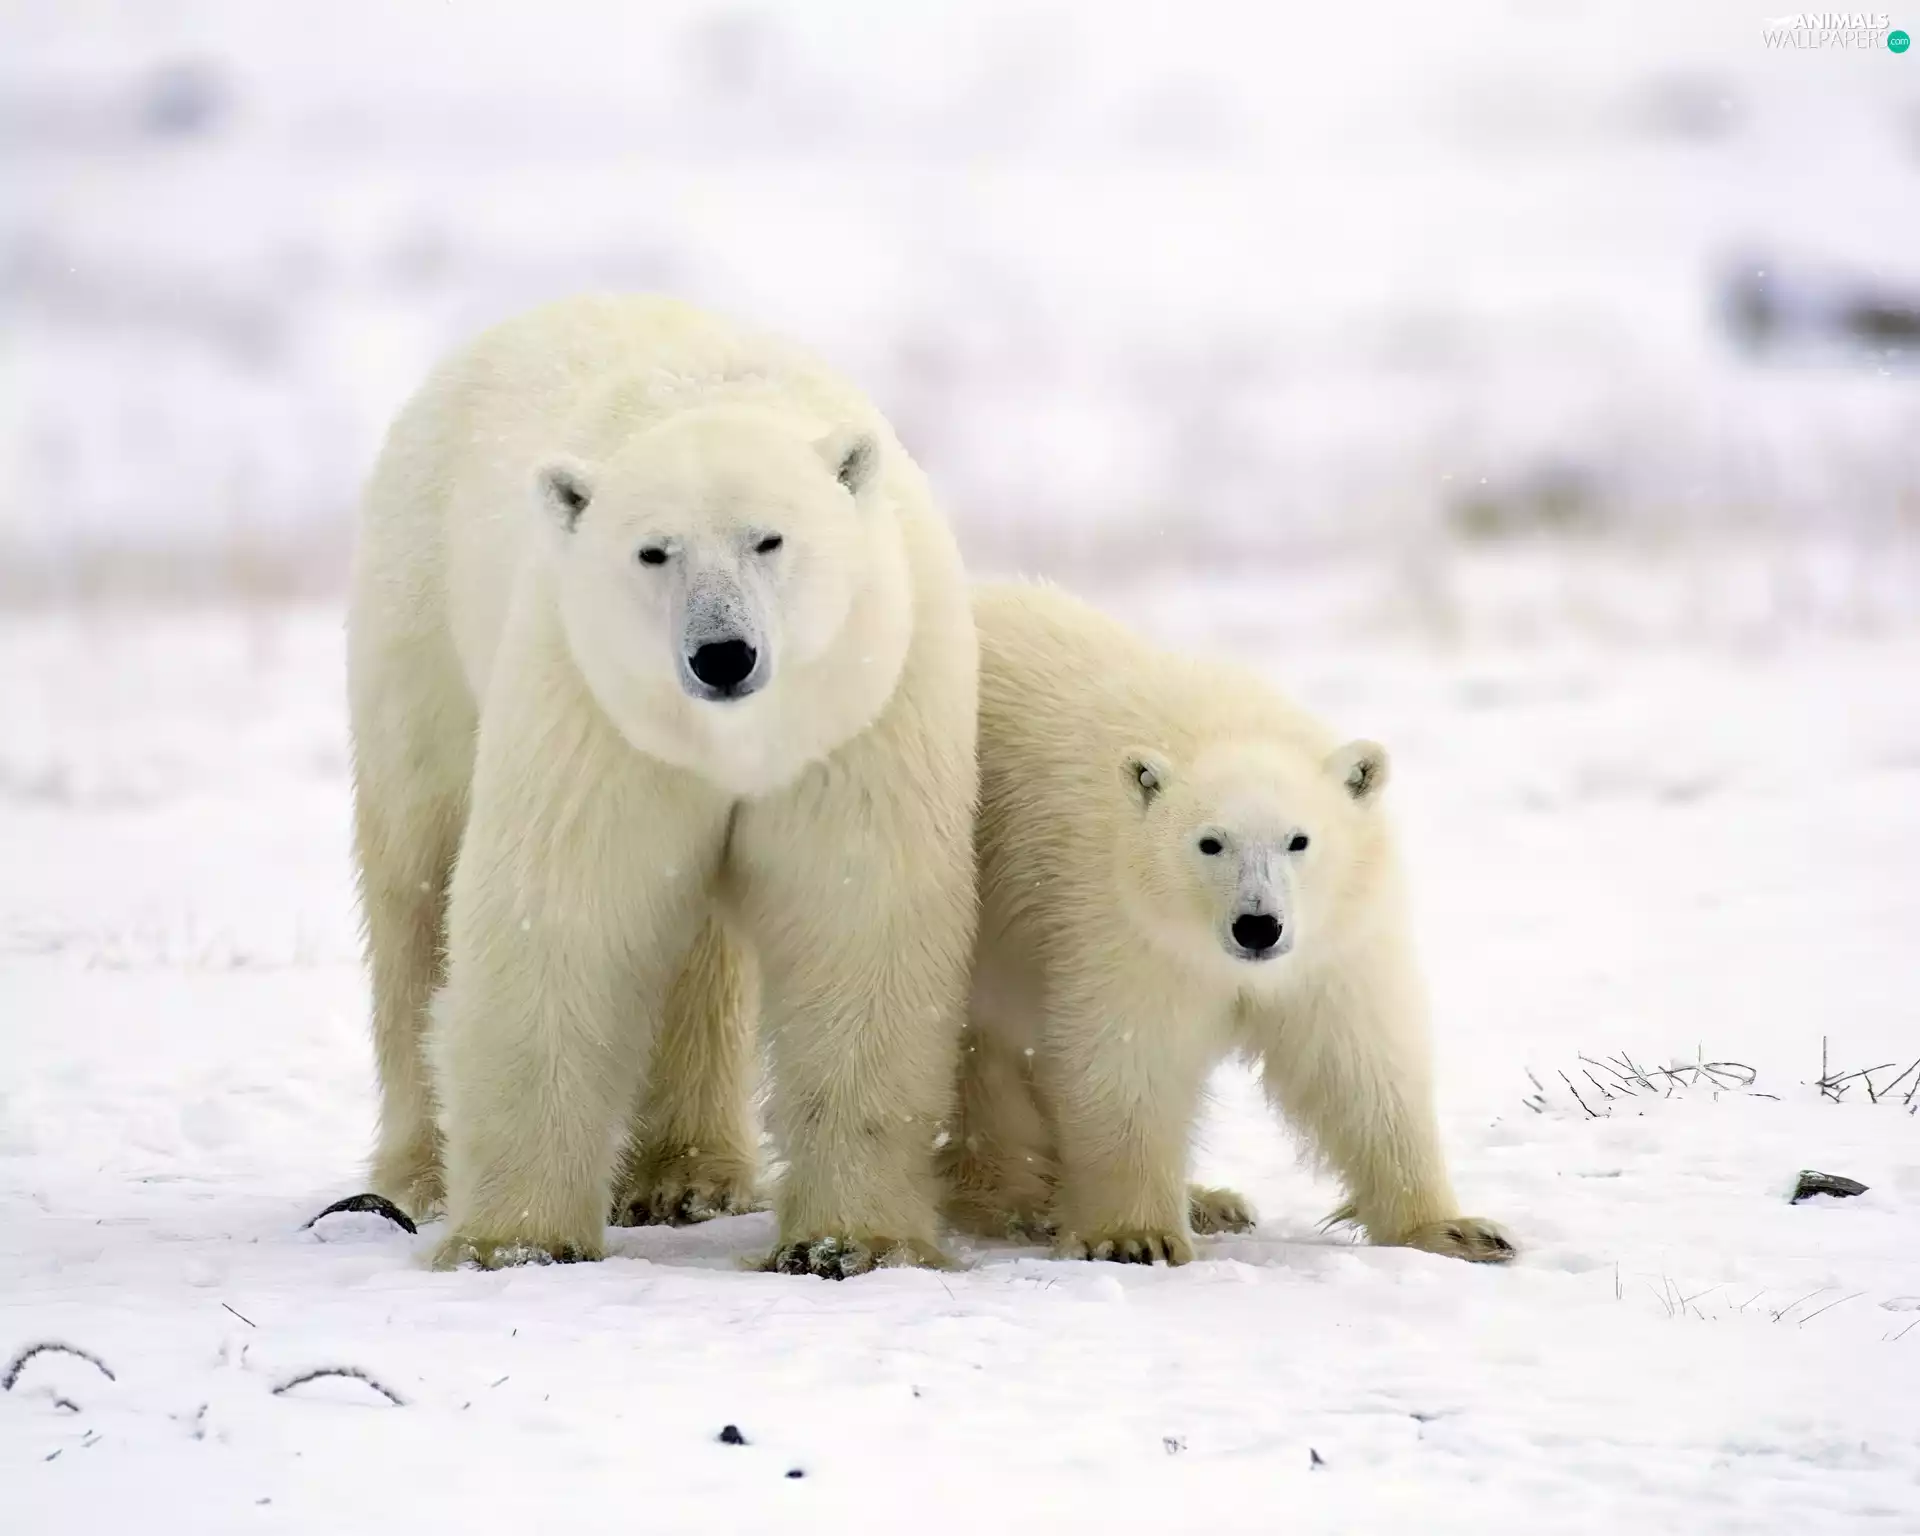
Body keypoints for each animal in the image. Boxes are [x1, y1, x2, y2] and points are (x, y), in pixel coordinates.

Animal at [345, 294, 978, 1276]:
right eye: (654, 552)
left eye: (769, 538)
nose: (723, 654)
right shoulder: (596, 706)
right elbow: (564, 910)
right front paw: (515, 1241)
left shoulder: (862, 707)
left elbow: (857, 915)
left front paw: (847, 1242)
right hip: (420, 626)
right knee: (416, 885)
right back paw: (419, 1176)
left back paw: (687, 1177)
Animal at [940, 581, 1513, 1266]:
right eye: (1210, 843)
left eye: (1299, 840)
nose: (1257, 927)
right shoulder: (1122, 923)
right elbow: (1130, 1056)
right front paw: (1136, 1235)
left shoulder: (1333, 941)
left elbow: (1358, 1062)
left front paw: (1458, 1230)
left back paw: (1210, 1202)